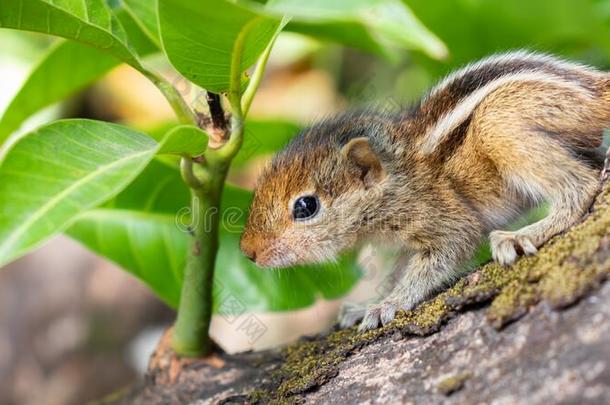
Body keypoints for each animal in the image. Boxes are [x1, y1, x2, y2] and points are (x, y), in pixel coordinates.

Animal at [238, 50, 608, 330]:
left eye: (305, 207)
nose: (248, 251)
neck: (396, 178)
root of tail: (597, 88)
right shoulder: (406, 242)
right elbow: (395, 272)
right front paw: (367, 304)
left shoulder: (441, 219)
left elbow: (444, 252)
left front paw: (386, 305)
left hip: (498, 124)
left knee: (581, 186)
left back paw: (522, 235)